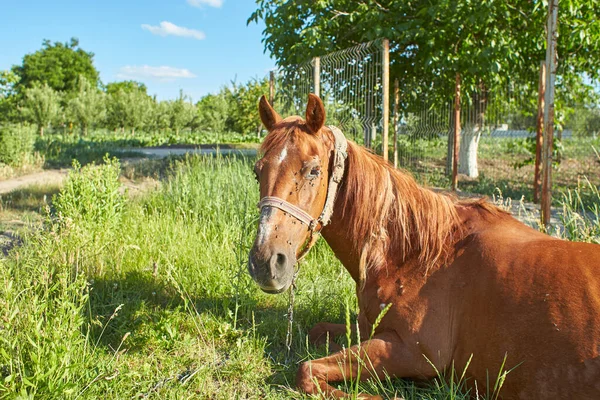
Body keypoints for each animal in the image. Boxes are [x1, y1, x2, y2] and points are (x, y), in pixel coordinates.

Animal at [245, 94, 600, 400]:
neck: (420, 255)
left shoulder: (410, 352)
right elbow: (316, 333)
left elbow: (306, 370)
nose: (265, 262)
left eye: (314, 170)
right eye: (257, 172)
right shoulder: (367, 327)